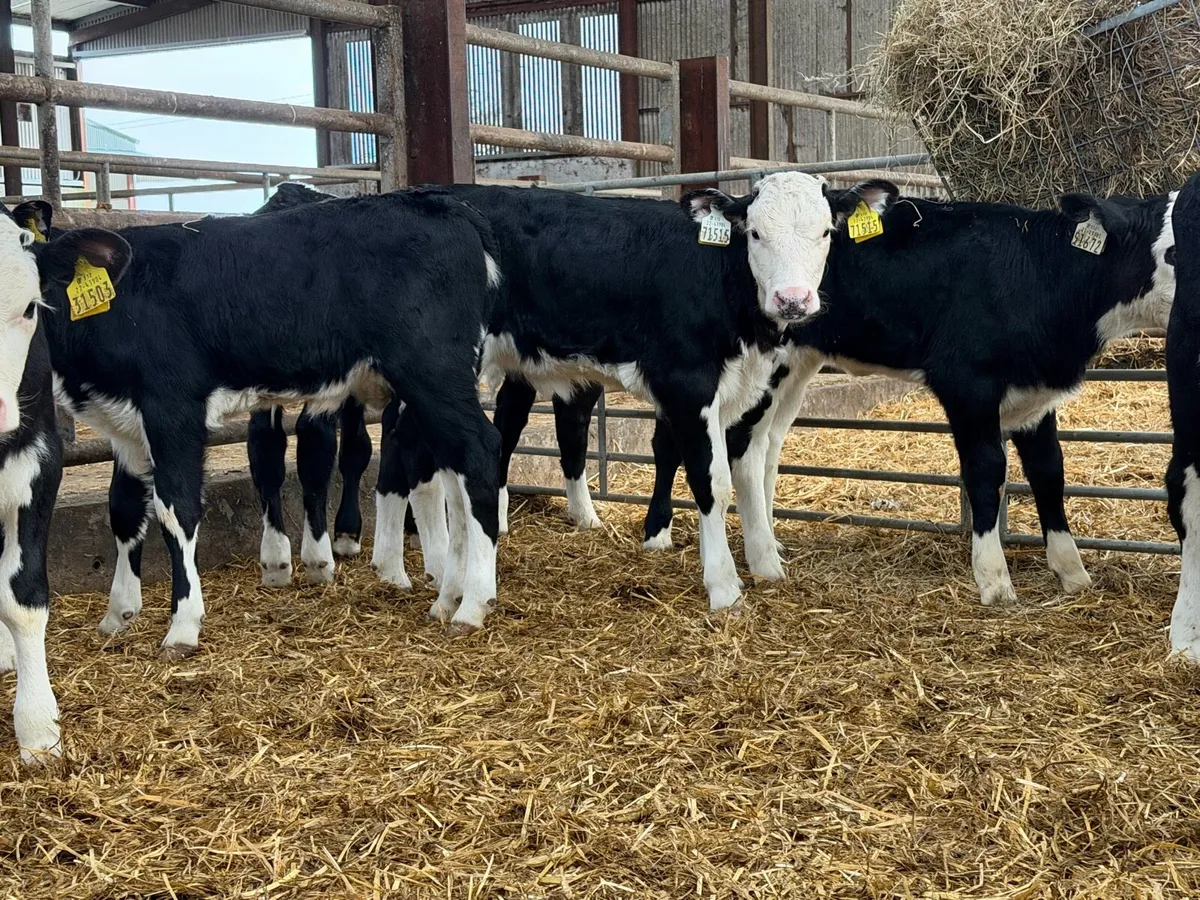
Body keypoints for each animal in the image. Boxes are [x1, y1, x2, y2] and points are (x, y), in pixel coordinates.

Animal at [25, 188, 504, 657]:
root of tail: (445, 205)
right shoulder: (124, 425)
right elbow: (123, 509)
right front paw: (118, 613)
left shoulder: (173, 410)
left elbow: (176, 508)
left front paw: (182, 626)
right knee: (455, 472)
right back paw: (449, 597)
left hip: (433, 372)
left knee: (481, 452)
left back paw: (473, 604)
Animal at [372, 175, 898, 615]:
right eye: (754, 234)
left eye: (826, 232)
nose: (792, 299)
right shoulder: (686, 383)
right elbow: (712, 481)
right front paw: (724, 586)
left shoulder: (746, 393)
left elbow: (749, 472)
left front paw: (767, 563)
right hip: (435, 371)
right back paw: (422, 571)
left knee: (411, 445)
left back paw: (403, 568)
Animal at [637, 187, 1176, 607]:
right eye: (1175, 252)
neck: (1039, 273)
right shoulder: (967, 382)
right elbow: (987, 472)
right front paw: (994, 579)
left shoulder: (1036, 392)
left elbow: (1050, 473)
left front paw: (1072, 572)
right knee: (721, 450)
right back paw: (674, 540)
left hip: (795, 366)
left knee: (766, 449)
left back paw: (767, 543)